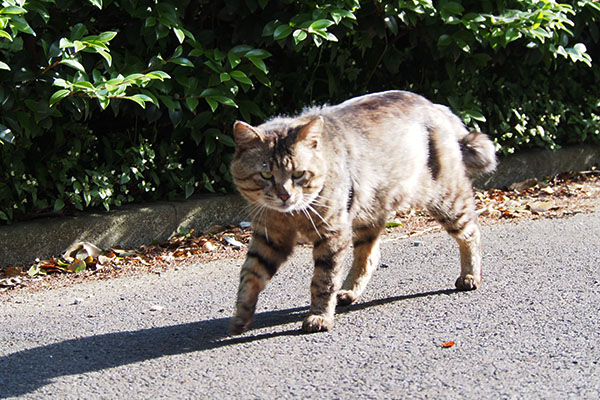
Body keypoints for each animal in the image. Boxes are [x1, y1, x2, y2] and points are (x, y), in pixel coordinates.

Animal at [227, 90, 494, 334]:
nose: (285, 195)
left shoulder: (332, 234)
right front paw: (241, 316)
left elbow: (323, 280)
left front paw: (319, 316)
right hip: (370, 211)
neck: (292, 215)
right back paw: (348, 291)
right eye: (266, 175)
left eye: (299, 174)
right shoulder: (270, 238)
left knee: (471, 231)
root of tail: (434, 105)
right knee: (369, 256)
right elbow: (250, 274)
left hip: (445, 198)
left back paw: (471, 275)